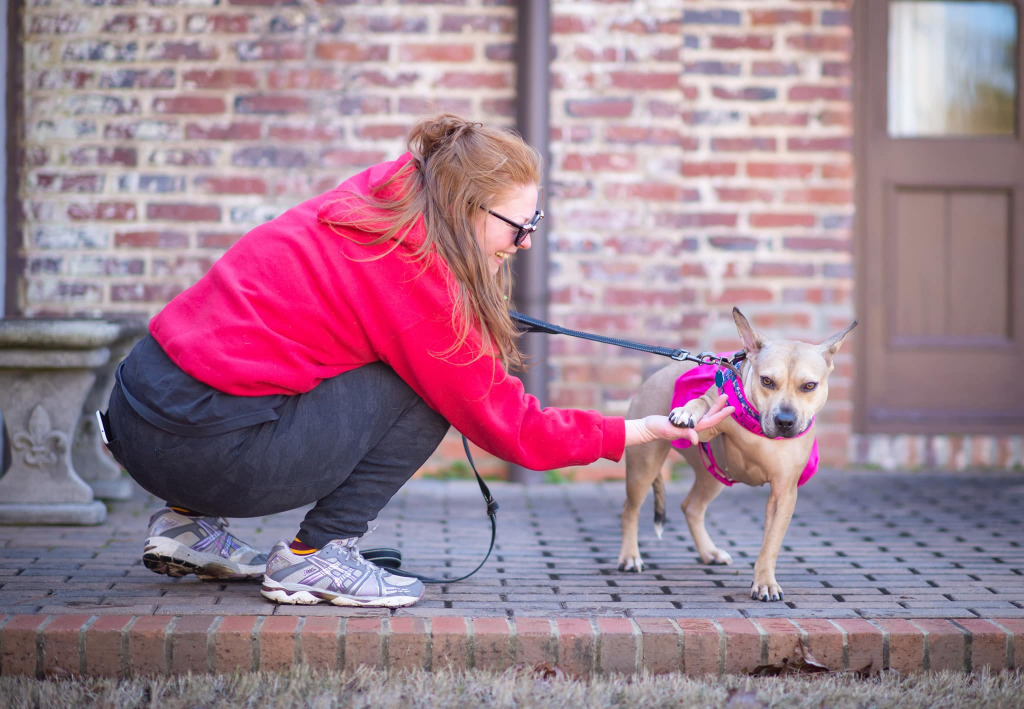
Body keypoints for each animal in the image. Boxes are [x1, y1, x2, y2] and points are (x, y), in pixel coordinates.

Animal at [614, 307, 856, 602]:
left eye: (809, 386)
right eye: (767, 381)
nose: (785, 421)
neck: (759, 428)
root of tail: (657, 374)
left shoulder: (783, 493)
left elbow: (770, 543)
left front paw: (765, 582)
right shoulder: (713, 415)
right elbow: (702, 401)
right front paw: (687, 410)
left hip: (713, 476)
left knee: (692, 507)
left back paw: (709, 552)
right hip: (644, 466)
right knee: (630, 509)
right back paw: (629, 557)